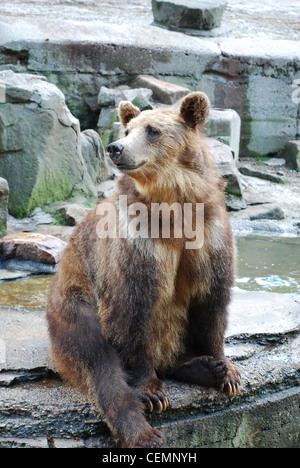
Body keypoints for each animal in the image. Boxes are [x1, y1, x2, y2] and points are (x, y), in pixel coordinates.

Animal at [45, 92, 240, 450]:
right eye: (128, 128)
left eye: (152, 130)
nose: (116, 148)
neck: (173, 206)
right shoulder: (137, 241)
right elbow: (131, 308)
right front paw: (151, 390)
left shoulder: (208, 235)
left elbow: (212, 300)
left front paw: (226, 368)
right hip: (74, 303)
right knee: (98, 362)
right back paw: (143, 431)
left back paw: (203, 368)